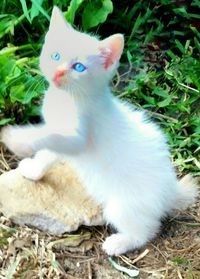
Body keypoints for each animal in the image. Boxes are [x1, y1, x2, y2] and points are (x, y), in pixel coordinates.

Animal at [0, 6, 197, 256]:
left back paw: (118, 243)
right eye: (56, 56)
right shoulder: (60, 138)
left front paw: (18, 140)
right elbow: (47, 153)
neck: (69, 97)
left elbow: (46, 136)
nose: (58, 74)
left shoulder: (77, 137)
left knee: (147, 230)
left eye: (79, 67)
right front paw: (34, 170)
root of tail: (170, 191)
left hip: (121, 207)